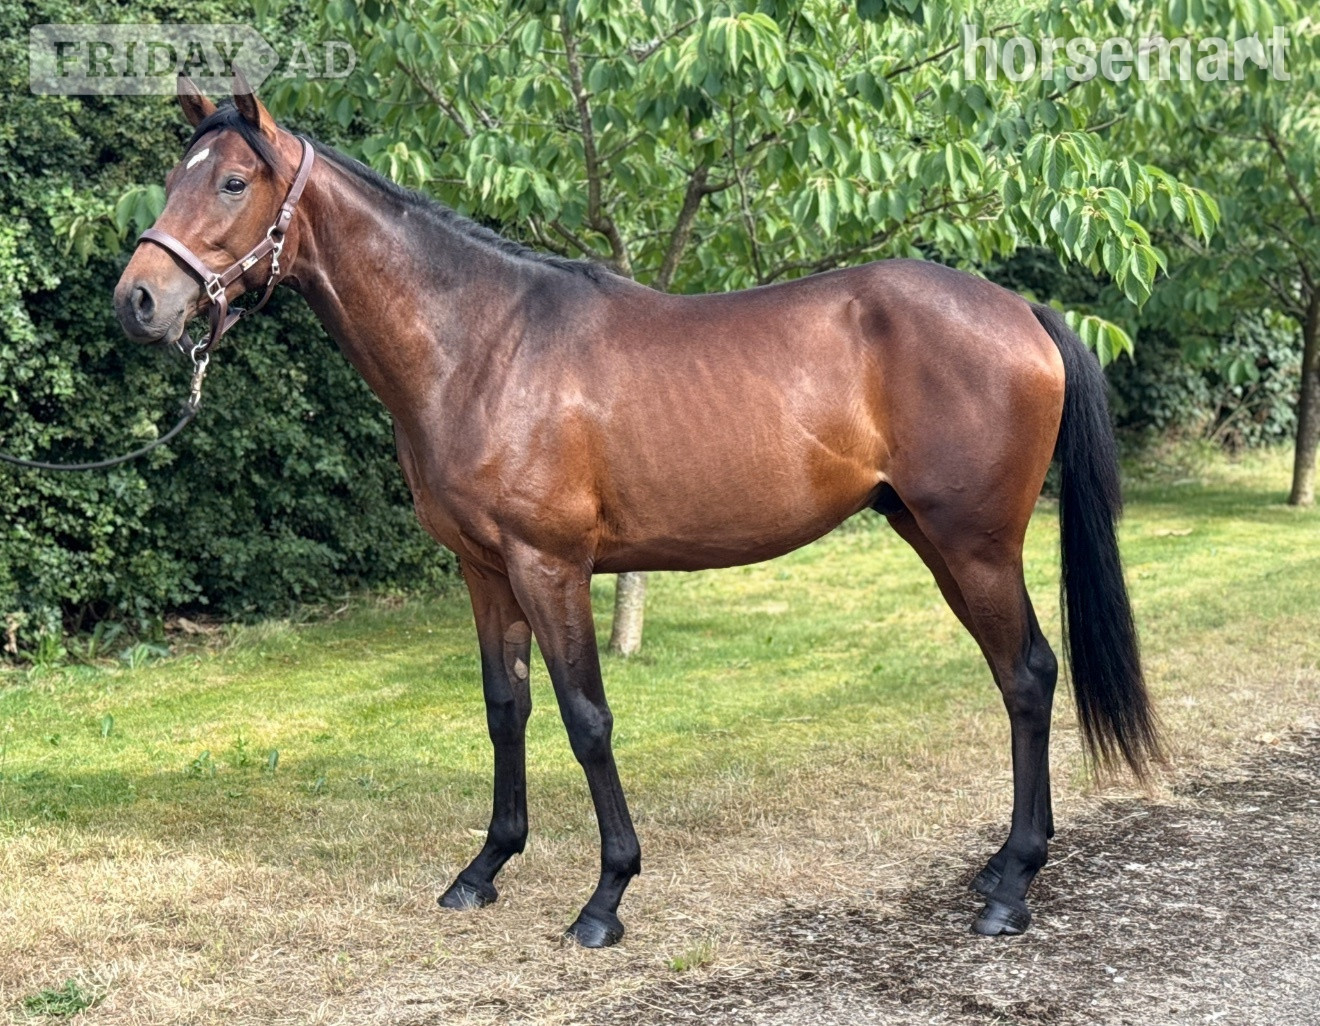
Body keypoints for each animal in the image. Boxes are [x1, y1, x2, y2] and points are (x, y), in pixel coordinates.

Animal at [113, 73, 1160, 947]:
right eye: (175, 176)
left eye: (234, 182)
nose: (139, 302)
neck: (481, 343)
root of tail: (1020, 311)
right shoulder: (485, 571)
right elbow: (505, 709)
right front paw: (483, 870)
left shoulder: (551, 566)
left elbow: (587, 718)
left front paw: (606, 898)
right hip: (932, 536)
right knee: (1013, 678)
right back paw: (997, 867)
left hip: (975, 543)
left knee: (1028, 675)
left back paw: (1011, 888)